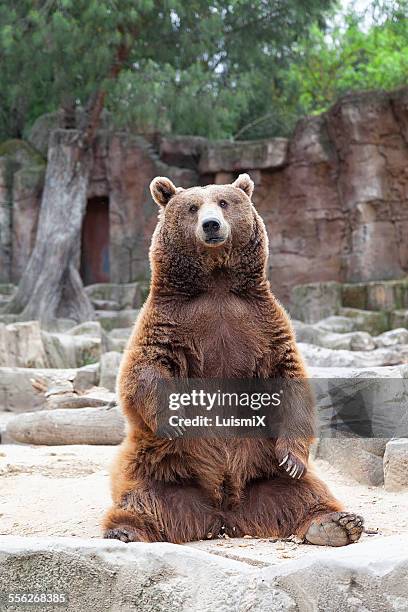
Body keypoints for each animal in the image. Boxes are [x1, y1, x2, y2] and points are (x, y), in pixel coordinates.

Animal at [103, 175, 364, 548]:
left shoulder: (261, 324)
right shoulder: (168, 321)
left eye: (224, 202)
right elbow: (145, 369)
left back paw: (337, 524)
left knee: (303, 492)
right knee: (143, 499)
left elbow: (288, 376)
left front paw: (294, 458)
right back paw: (125, 530)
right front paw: (176, 419)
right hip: (156, 465)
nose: (211, 225)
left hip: (264, 467)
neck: (217, 283)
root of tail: (223, 514)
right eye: (192, 207)